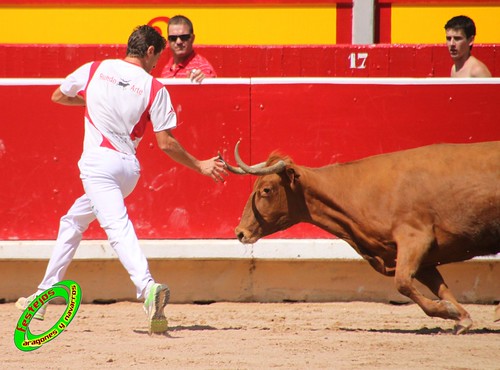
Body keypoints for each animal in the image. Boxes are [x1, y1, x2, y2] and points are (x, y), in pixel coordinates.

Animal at [225, 140, 500, 334]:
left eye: (266, 190)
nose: (240, 232)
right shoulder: (416, 256)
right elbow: (440, 288)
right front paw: (460, 317)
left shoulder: (415, 239)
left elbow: (403, 283)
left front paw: (452, 313)